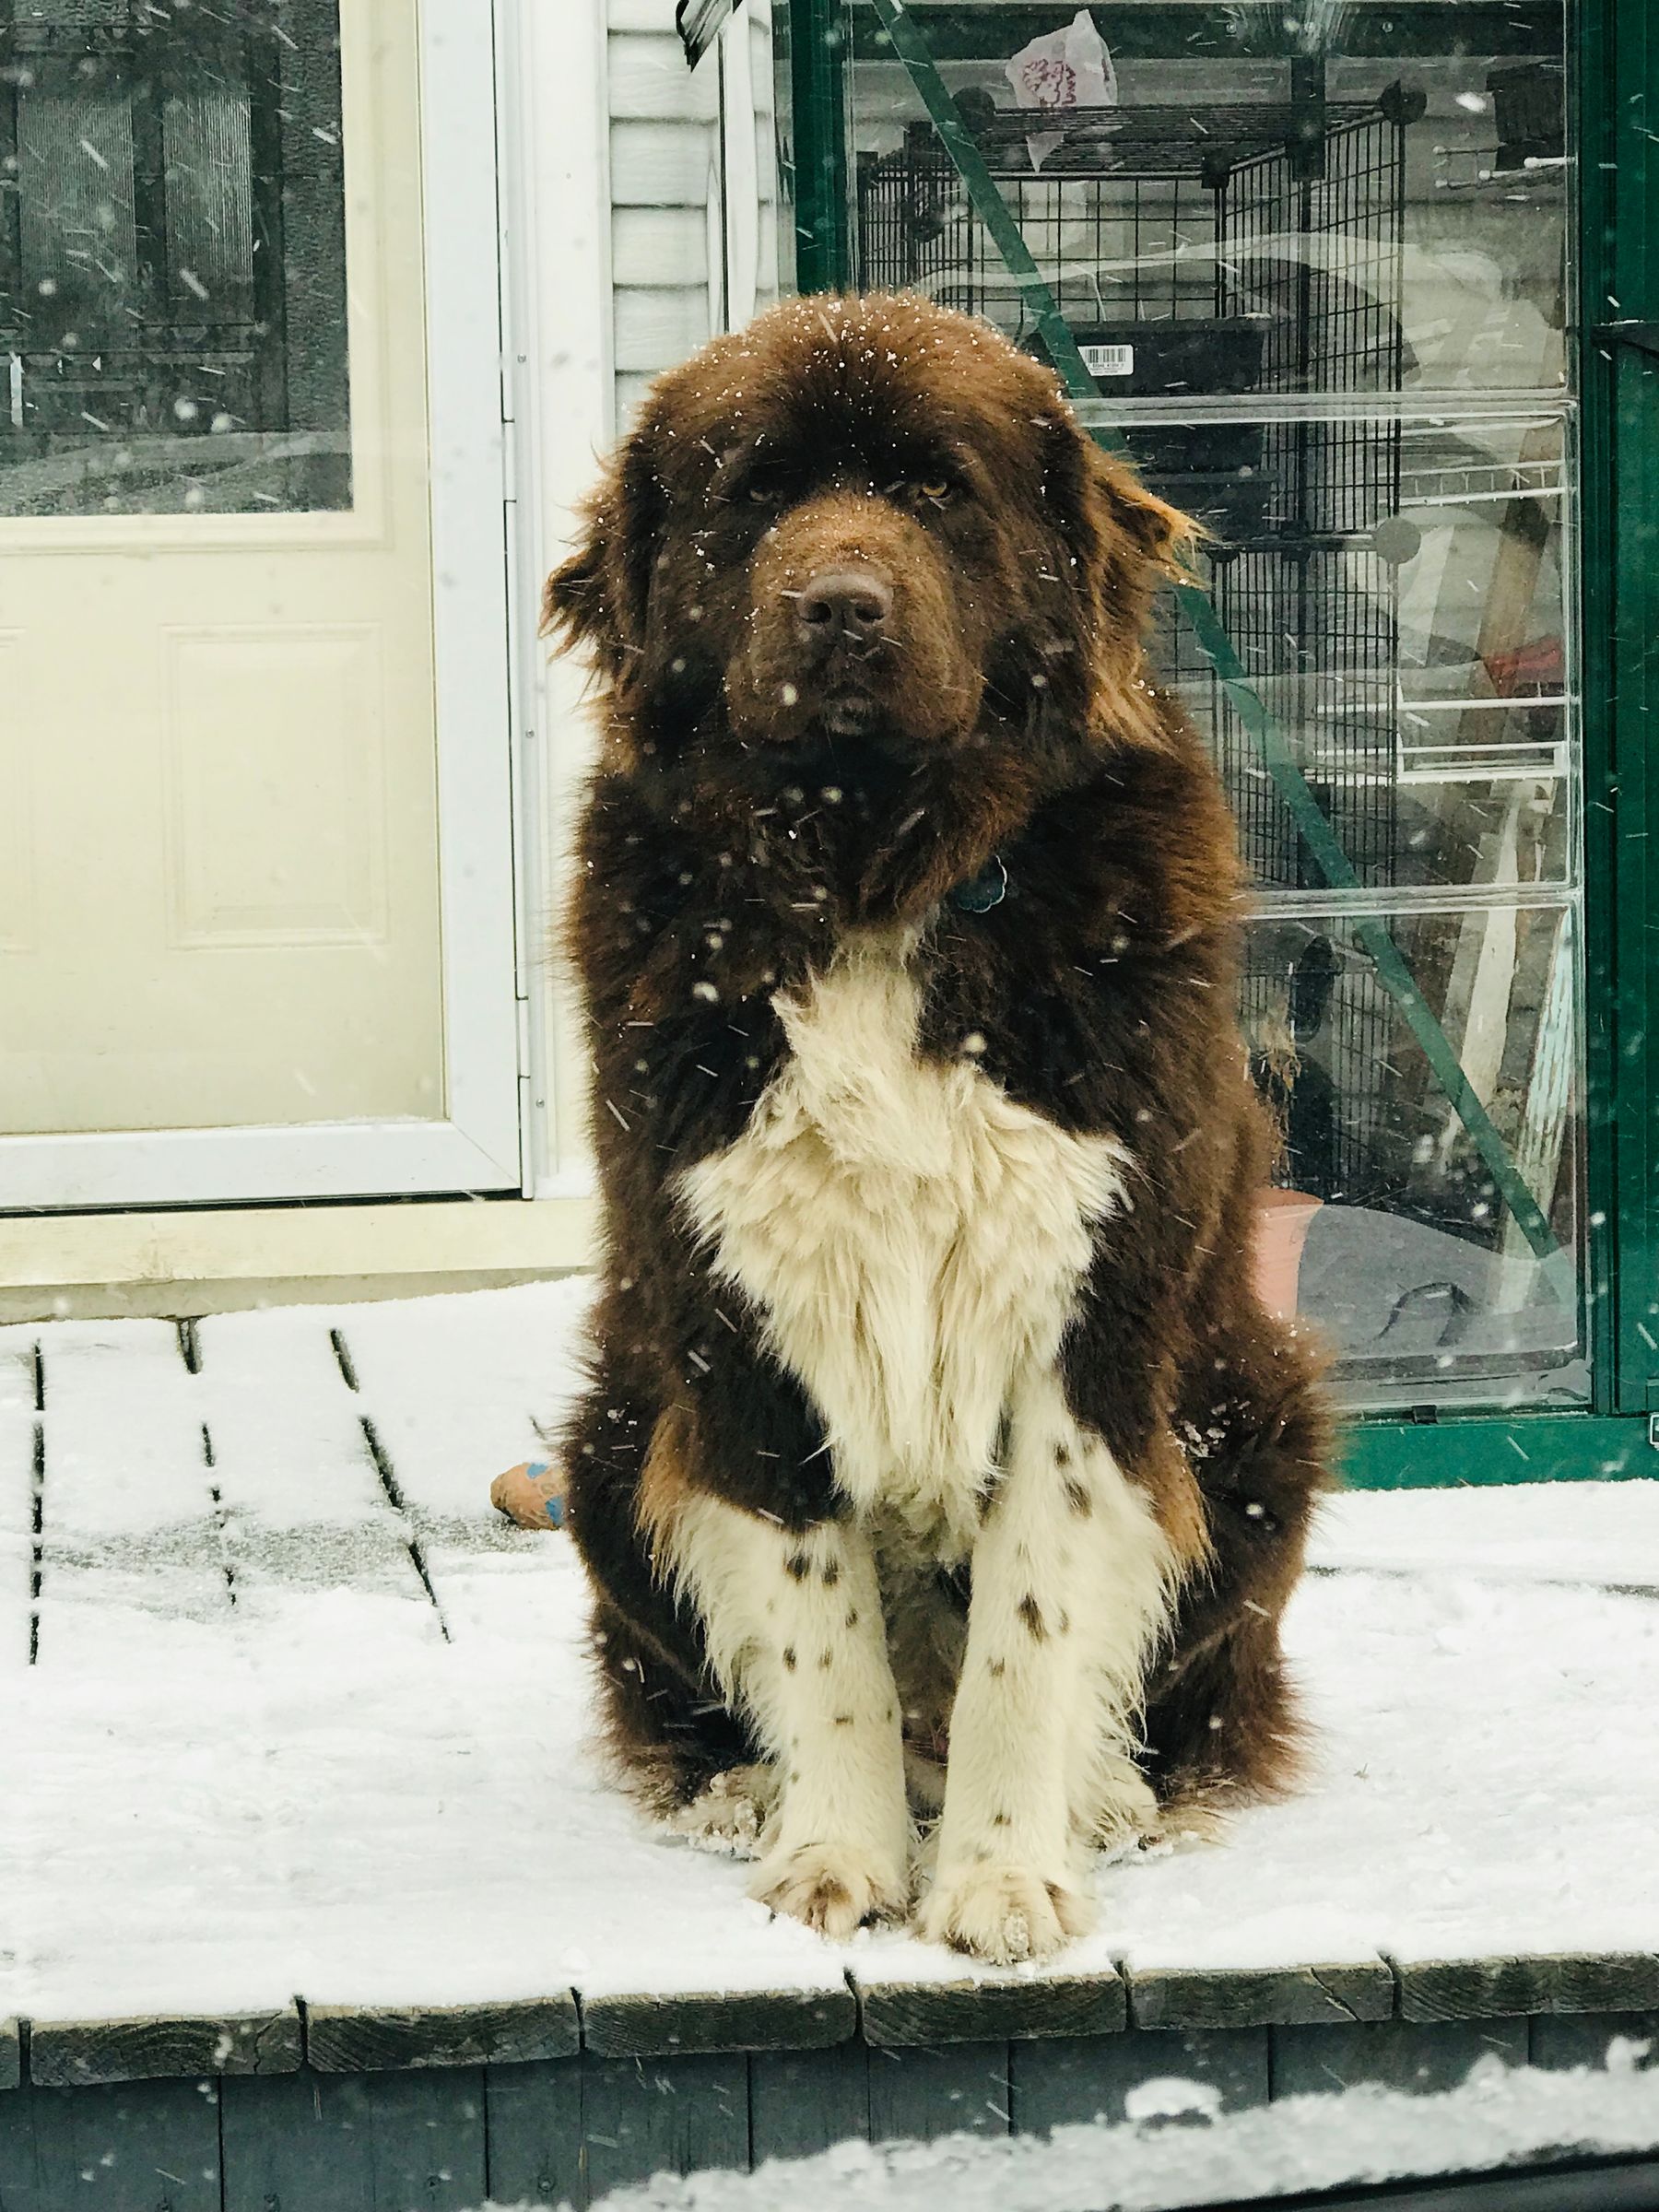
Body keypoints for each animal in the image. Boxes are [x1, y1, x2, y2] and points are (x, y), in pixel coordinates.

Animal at [553, 294, 1335, 1972]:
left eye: (935, 492)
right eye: (754, 497)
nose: (839, 607)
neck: (875, 879)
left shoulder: (1089, 1320)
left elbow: (1029, 1635)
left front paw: (1001, 1878)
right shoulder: (734, 1319)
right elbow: (818, 1624)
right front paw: (834, 1859)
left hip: (1258, 1411)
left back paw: (1107, 1794)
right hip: (614, 1424)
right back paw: (741, 1792)